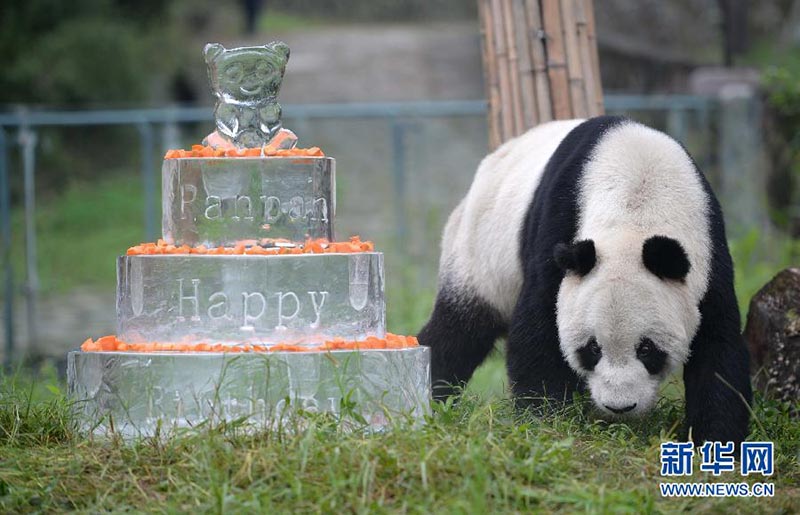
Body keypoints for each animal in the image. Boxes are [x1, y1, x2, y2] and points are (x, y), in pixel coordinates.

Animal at [422, 115, 752, 446]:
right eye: (593, 348)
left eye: (647, 349)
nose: (619, 406)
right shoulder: (559, 226)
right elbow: (538, 327)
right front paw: (546, 422)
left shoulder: (708, 255)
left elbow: (718, 349)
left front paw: (715, 439)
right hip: (480, 252)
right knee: (459, 330)